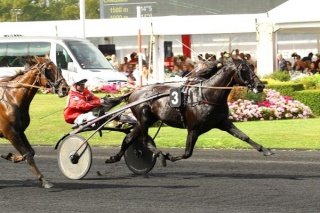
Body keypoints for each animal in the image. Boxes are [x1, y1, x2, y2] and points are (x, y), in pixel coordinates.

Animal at [0, 55, 69, 188]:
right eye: (48, 69)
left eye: (58, 68)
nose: (65, 88)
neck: (11, 98)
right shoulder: (10, 133)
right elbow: (28, 156)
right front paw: (45, 181)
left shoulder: (20, 131)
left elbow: (30, 152)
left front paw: (10, 156)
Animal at [105, 57, 276, 166]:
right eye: (243, 69)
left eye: (252, 67)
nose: (260, 85)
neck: (207, 95)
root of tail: (133, 92)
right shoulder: (193, 129)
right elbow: (188, 153)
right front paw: (169, 156)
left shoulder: (223, 122)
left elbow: (243, 136)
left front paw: (266, 150)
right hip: (144, 118)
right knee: (145, 139)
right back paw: (160, 155)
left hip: (146, 120)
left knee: (129, 138)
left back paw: (113, 158)